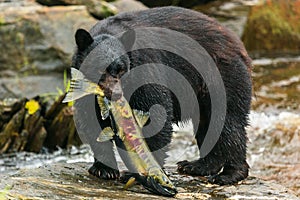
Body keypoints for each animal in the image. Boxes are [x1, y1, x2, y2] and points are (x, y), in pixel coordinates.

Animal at [72, 7, 251, 187]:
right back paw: (198, 166)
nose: (115, 93)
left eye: (122, 69)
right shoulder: (82, 85)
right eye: (99, 69)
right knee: (207, 125)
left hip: (220, 78)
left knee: (228, 122)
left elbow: (157, 113)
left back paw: (229, 174)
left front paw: (142, 173)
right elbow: (91, 119)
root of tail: (238, 43)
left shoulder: (144, 69)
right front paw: (104, 169)